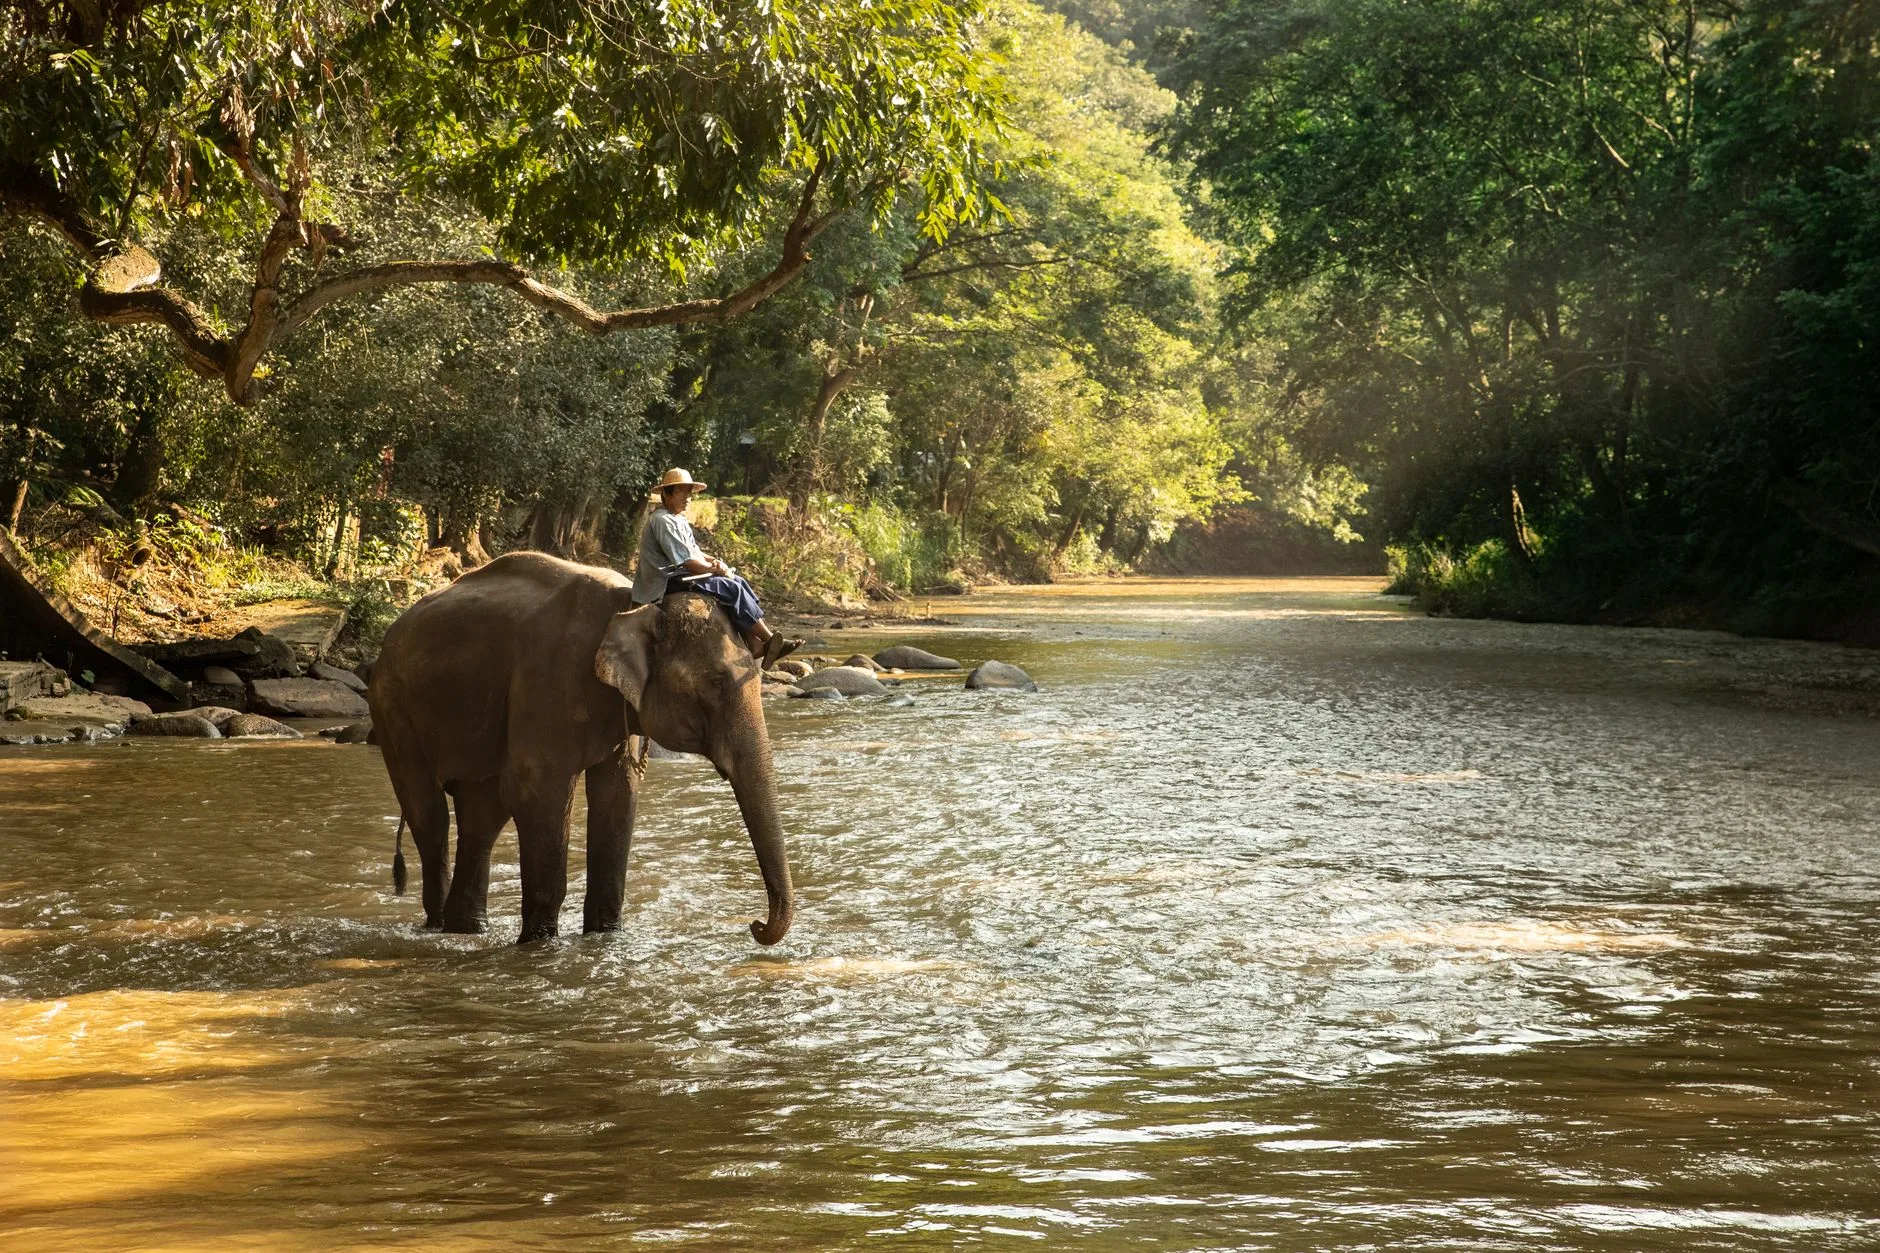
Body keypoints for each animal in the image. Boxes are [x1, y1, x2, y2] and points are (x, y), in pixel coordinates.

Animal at [367, 550, 793, 945]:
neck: (633, 607)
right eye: (716, 683)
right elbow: (537, 792)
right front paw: (539, 943)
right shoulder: (549, 678)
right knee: (430, 815)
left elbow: (618, 794)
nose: (754, 925)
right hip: (391, 708)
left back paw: (465, 929)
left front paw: (605, 936)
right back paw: (440, 925)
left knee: (482, 815)